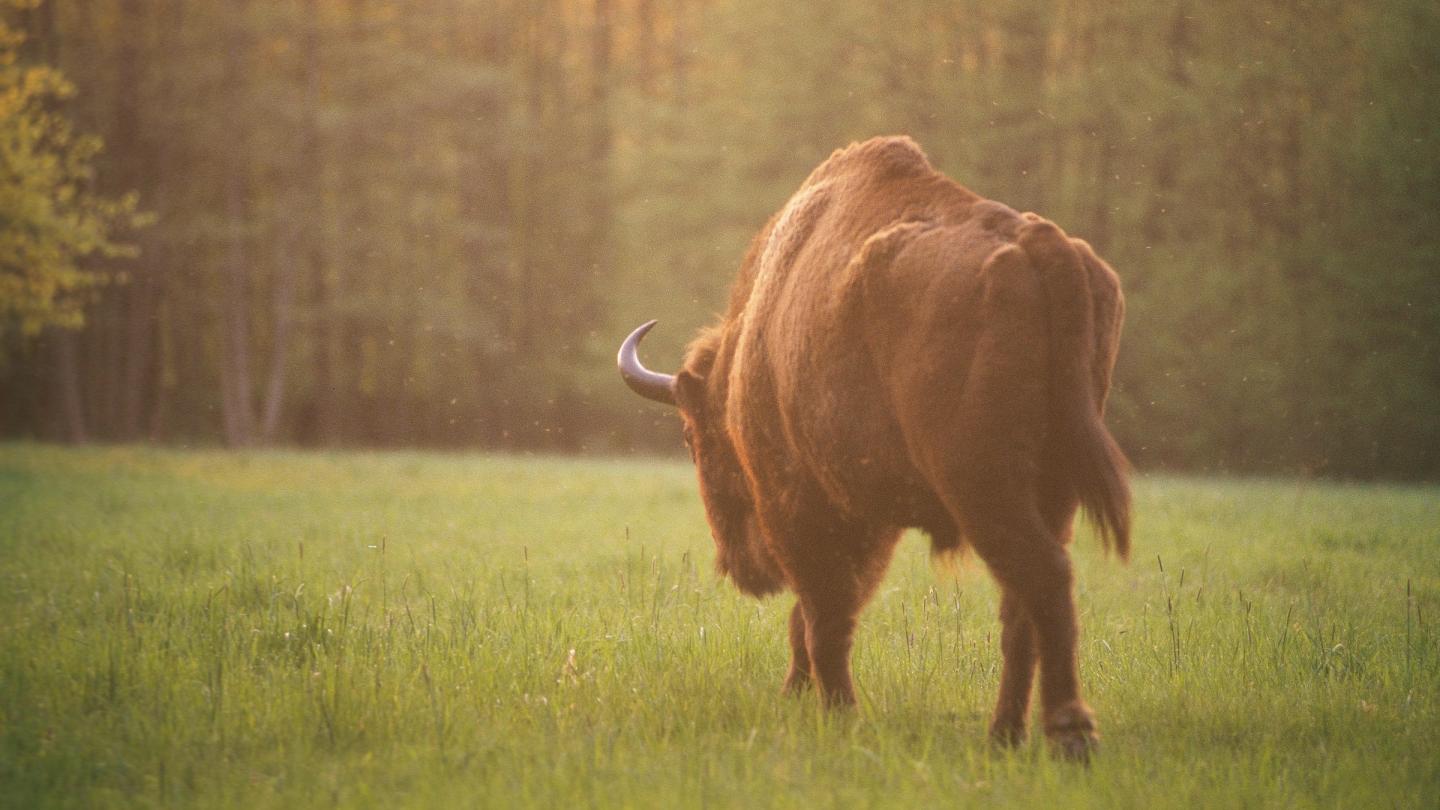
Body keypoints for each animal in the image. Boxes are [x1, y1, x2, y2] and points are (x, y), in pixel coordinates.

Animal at [618, 136, 1130, 759]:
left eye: (693, 436)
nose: (738, 567)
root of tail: (1040, 242)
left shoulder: (804, 509)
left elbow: (823, 616)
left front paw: (838, 714)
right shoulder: (866, 522)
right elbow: (822, 614)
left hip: (983, 487)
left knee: (1043, 577)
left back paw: (1068, 734)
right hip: (1054, 491)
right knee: (1022, 610)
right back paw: (1003, 735)